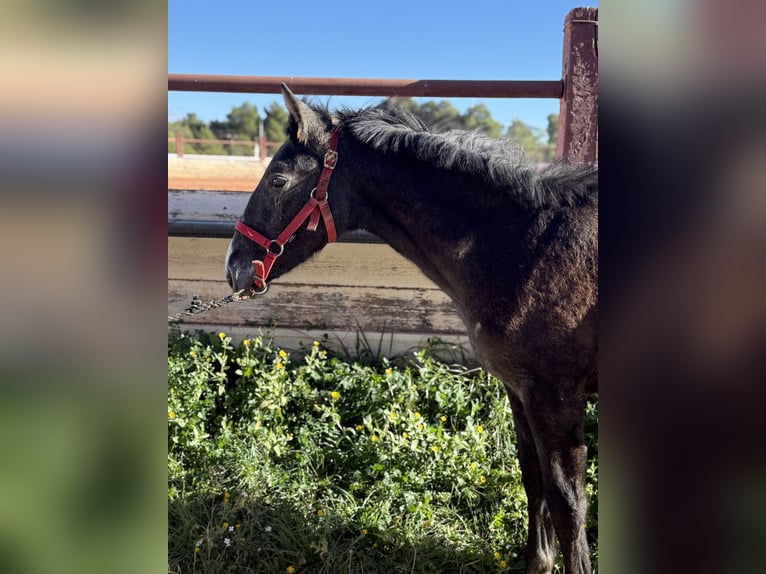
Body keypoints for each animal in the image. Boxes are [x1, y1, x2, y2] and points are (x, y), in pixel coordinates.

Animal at [226, 85, 600, 574]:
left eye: (277, 181)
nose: (234, 268)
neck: (527, 247)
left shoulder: (554, 397)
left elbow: (569, 506)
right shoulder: (520, 391)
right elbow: (533, 478)